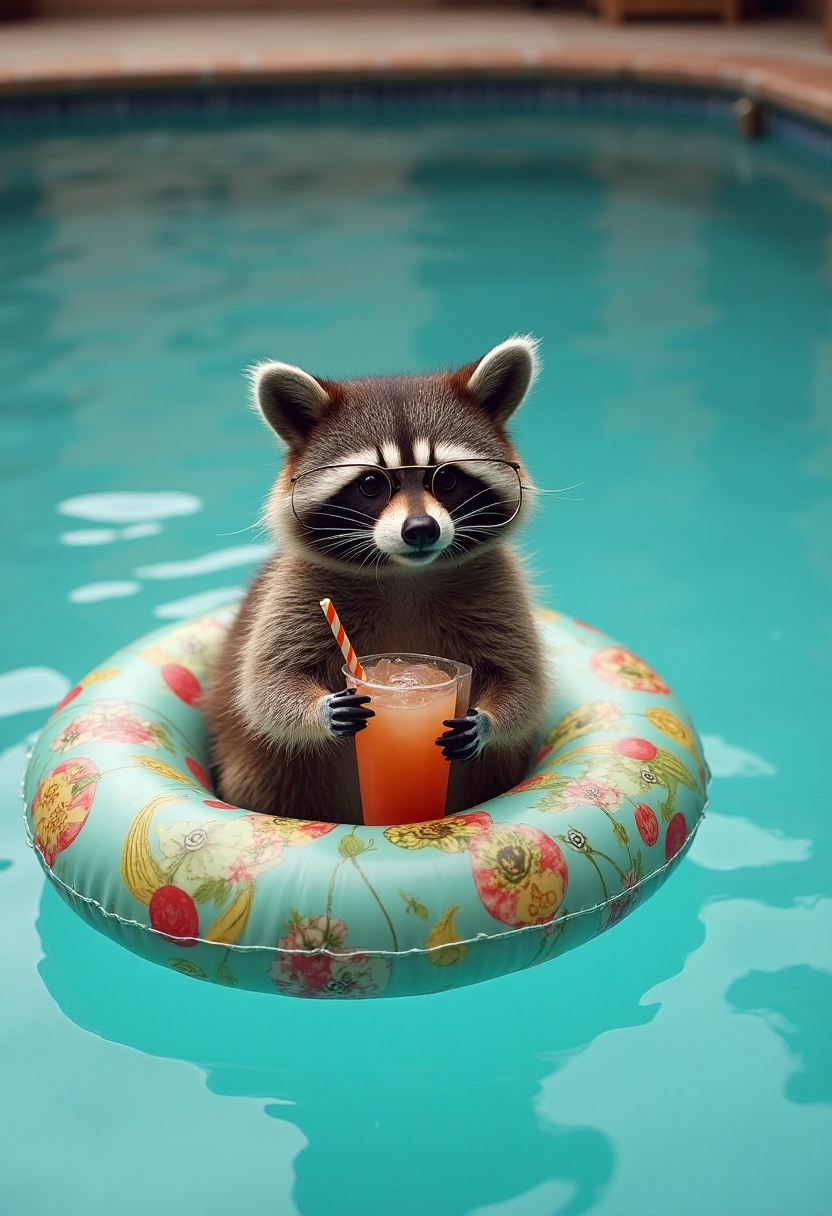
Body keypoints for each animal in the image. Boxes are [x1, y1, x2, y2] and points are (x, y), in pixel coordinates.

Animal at [205, 337, 547, 823]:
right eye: (370, 484)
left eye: (447, 478)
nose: (421, 529)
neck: (406, 575)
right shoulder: (294, 590)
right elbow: (265, 684)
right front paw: (317, 710)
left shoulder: (497, 587)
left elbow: (523, 682)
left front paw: (488, 720)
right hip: (268, 776)